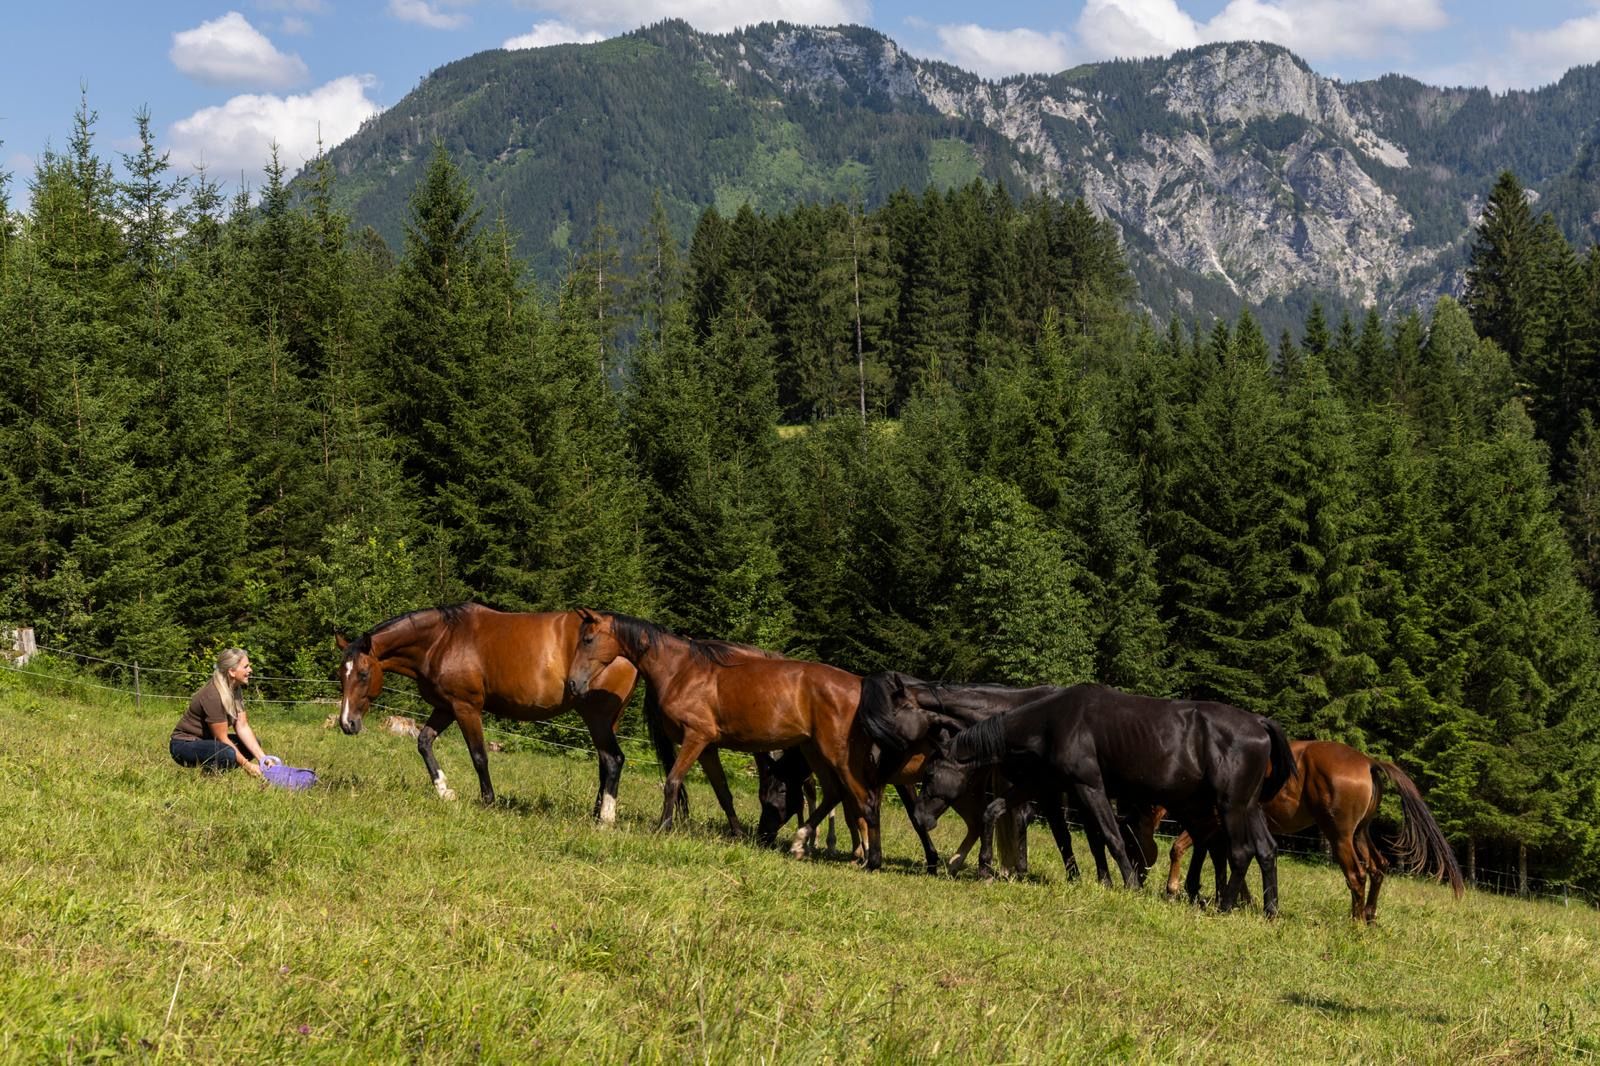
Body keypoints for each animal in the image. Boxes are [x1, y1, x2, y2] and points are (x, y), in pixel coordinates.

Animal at [334, 603, 638, 821]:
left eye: (362, 674)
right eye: (341, 675)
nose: (347, 723)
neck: (441, 640)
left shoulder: (466, 708)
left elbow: (479, 756)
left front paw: (488, 801)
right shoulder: (446, 707)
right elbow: (424, 742)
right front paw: (445, 791)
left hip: (597, 717)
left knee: (613, 760)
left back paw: (604, 818)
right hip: (608, 722)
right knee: (604, 762)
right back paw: (597, 811)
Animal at [564, 609, 884, 867]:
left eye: (588, 639)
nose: (573, 683)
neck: (681, 670)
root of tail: (858, 686)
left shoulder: (695, 738)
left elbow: (672, 781)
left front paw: (663, 827)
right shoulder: (708, 747)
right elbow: (723, 792)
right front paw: (739, 834)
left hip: (837, 755)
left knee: (864, 800)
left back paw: (871, 860)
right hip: (814, 751)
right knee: (834, 793)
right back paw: (799, 843)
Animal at [916, 683, 1295, 915]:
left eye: (930, 775)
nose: (919, 817)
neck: (1053, 721)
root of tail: (1259, 723)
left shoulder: (1089, 787)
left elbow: (1111, 838)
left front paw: (1129, 884)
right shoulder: (1043, 782)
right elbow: (994, 810)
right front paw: (985, 867)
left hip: (1230, 807)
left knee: (1240, 852)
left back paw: (1225, 905)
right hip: (1248, 808)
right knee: (1266, 850)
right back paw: (1270, 909)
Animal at [1138, 739, 1464, 922]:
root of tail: (1367, 762)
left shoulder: (1212, 823)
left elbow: (1185, 849)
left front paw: (1177, 888)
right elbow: (1222, 859)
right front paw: (1234, 898)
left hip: (1340, 837)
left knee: (1356, 875)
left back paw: (1356, 922)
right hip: (1360, 834)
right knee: (1378, 867)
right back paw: (1369, 915)